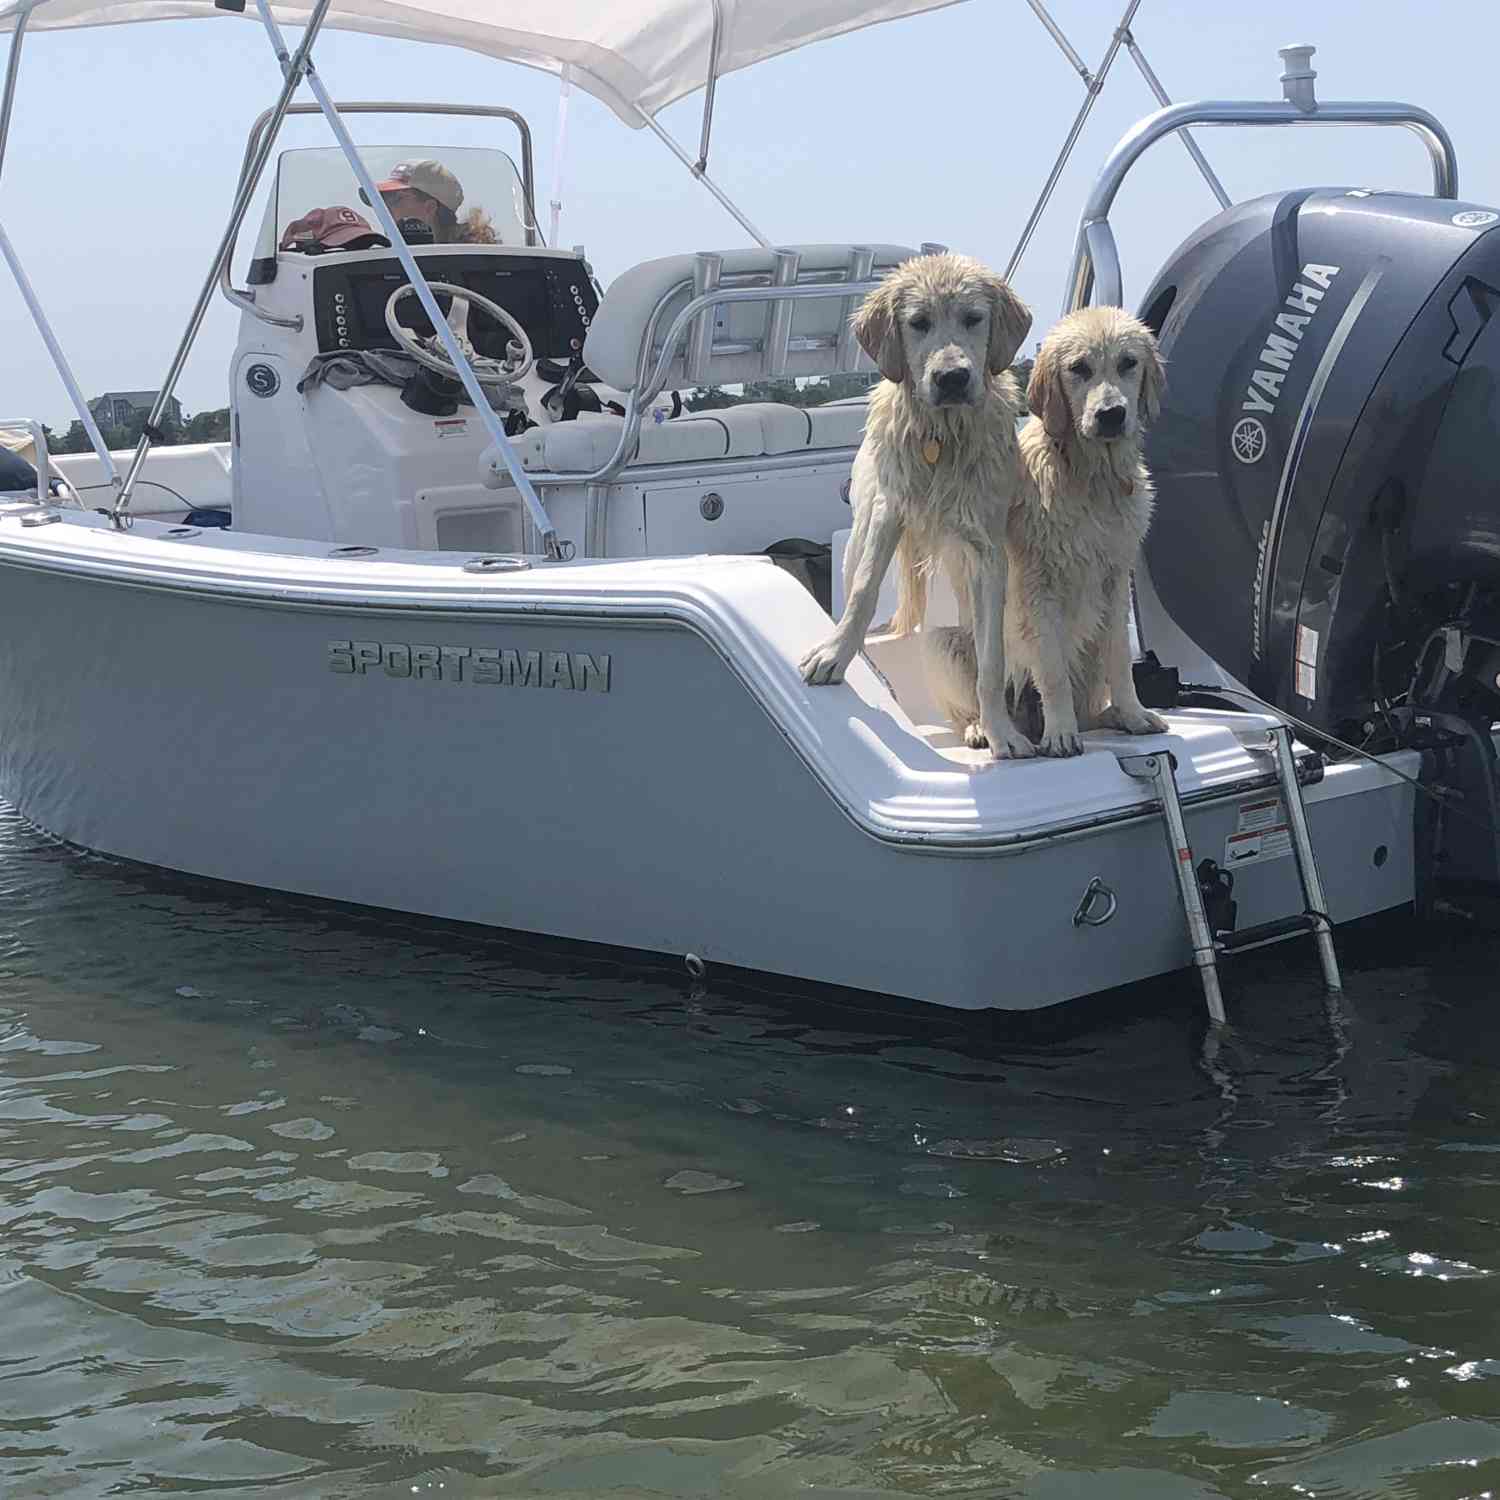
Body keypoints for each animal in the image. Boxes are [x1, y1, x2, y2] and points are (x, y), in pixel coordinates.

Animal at [804, 253, 1038, 762]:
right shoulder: (889, 514)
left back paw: (978, 726)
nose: (951, 378)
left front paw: (1002, 732)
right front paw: (833, 655)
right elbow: (863, 594)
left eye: (973, 318)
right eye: (918, 323)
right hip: (858, 536)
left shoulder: (986, 549)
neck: (941, 436)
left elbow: (991, 660)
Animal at [924, 304, 1170, 756]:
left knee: (1091, 701)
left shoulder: (1114, 578)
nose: (1111, 415)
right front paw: (1059, 733)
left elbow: (1119, 660)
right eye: (1079, 368)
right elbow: (1052, 669)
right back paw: (984, 729)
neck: (1090, 477)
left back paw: (1108, 716)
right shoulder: (1038, 589)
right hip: (945, 645)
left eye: (1128, 363)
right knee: (973, 704)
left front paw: (1133, 714)